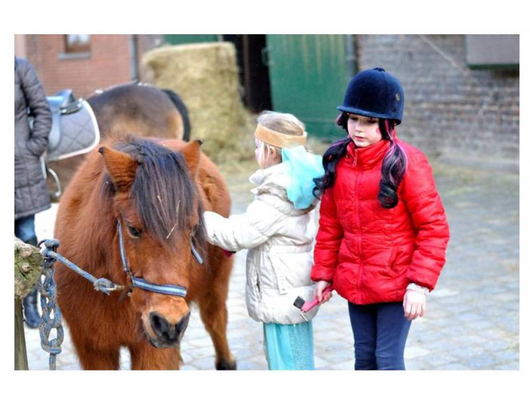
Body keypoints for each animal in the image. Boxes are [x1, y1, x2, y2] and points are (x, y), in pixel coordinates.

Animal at [54, 135, 235, 370]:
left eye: (194, 228)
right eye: (133, 229)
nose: (169, 324)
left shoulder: (151, 351)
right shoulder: (94, 349)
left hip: (215, 285)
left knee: (215, 321)